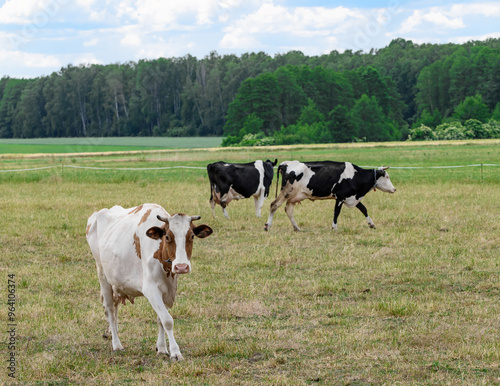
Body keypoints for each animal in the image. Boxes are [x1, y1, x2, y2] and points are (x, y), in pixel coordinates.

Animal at [86, 204, 211, 360]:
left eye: (192, 236)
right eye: (167, 237)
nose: (181, 267)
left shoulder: (168, 290)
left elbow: (161, 319)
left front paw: (162, 348)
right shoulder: (151, 290)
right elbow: (167, 320)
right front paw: (175, 352)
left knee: (114, 309)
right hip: (103, 276)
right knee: (109, 309)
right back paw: (116, 344)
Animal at [264, 161, 396, 231]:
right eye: (387, 176)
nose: (394, 189)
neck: (355, 176)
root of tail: (286, 163)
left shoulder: (352, 197)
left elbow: (364, 209)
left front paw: (371, 224)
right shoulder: (340, 197)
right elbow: (336, 212)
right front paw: (334, 227)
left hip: (294, 196)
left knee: (289, 210)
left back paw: (297, 228)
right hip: (286, 192)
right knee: (274, 205)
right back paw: (267, 226)